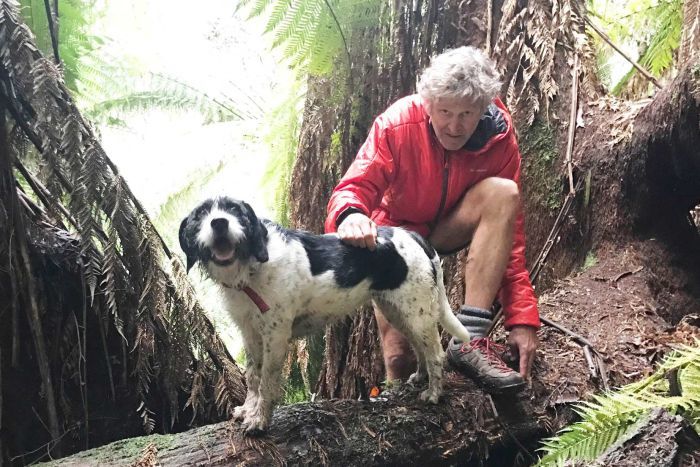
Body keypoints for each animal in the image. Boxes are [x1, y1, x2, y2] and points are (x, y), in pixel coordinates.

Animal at [179, 197, 470, 436]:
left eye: (234, 210)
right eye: (201, 214)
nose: (219, 223)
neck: (251, 269)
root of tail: (411, 235)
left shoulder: (275, 335)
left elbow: (267, 382)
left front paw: (259, 420)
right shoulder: (250, 334)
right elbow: (252, 377)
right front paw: (248, 410)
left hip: (415, 311)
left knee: (436, 354)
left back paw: (434, 393)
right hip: (398, 311)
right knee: (420, 347)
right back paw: (419, 377)